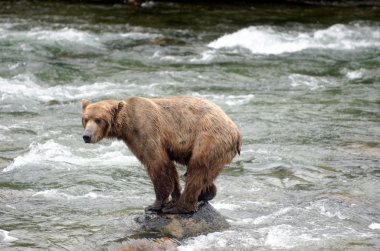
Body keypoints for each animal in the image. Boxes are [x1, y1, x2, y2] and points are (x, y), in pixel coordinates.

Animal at [81, 96, 242, 214]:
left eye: (98, 120)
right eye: (85, 119)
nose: (86, 136)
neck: (127, 126)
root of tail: (237, 132)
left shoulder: (146, 131)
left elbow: (157, 164)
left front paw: (155, 204)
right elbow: (170, 168)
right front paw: (173, 197)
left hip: (209, 139)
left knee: (197, 169)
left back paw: (179, 208)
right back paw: (206, 193)